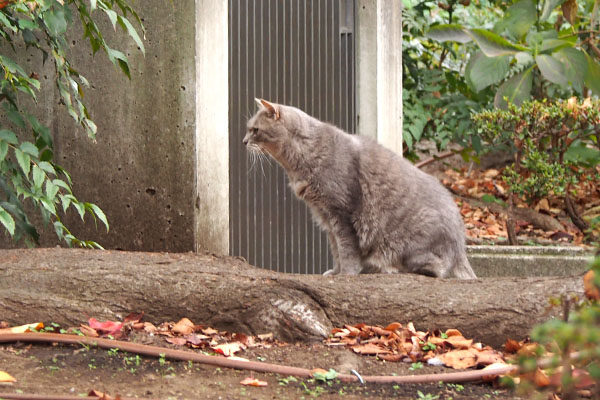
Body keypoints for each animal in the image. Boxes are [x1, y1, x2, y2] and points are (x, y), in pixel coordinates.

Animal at [241, 99, 476, 280]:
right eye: (249, 129)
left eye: (255, 130)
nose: (243, 141)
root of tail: (460, 245)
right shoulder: (326, 217)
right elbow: (336, 249)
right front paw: (336, 272)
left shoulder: (341, 214)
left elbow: (346, 249)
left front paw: (347, 273)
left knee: (436, 270)